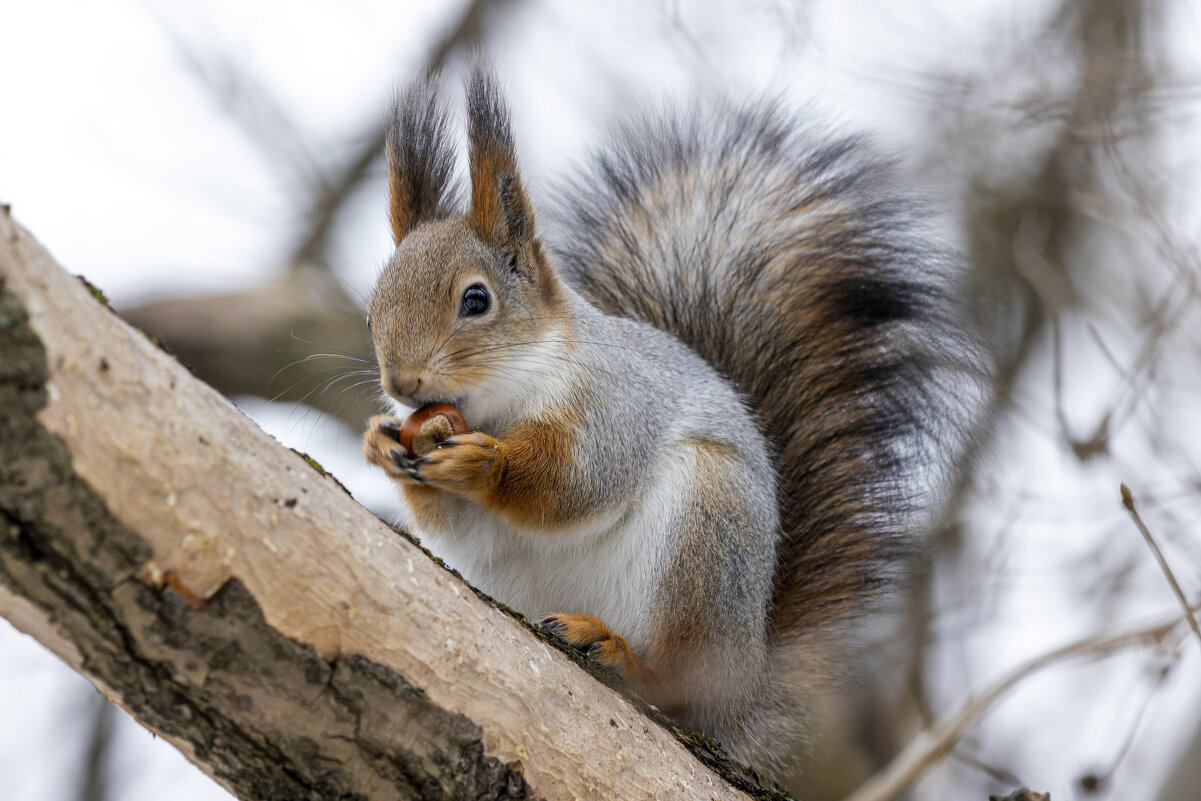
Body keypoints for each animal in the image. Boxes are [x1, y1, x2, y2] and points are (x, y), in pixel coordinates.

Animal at [357, 67, 975, 768]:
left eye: (476, 300)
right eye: (372, 311)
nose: (402, 385)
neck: (500, 398)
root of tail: (743, 686)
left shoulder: (618, 403)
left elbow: (576, 480)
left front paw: (485, 463)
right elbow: (457, 524)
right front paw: (382, 444)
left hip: (705, 535)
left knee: (676, 686)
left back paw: (617, 654)